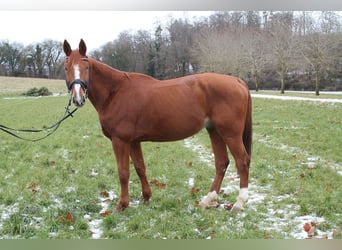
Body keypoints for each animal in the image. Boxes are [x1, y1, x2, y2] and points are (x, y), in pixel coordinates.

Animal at [63, 39, 251, 211]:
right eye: (66, 68)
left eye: (86, 67)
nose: (78, 97)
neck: (115, 92)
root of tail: (237, 80)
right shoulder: (133, 141)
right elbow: (140, 168)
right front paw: (146, 198)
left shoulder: (120, 141)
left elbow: (123, 173)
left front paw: (122, 205)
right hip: (215, 131)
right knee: (222, 163)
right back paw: (208, 200)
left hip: (230, 134)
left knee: (242, 161)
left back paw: (239, 203)